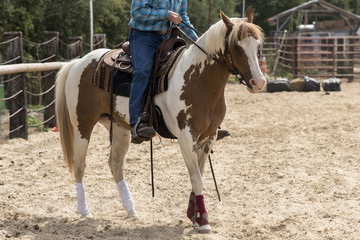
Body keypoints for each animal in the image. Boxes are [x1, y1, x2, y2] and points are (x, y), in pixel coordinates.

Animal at [55, 7, 264, 234]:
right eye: (236, 46)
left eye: (258, 45)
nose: (259, 82)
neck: (198, 79)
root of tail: (79, 62)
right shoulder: (186, 138)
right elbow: (197, 179)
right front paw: (203, 221)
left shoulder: (208, 138)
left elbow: (199, 175)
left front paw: (194, 216)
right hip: (82, 124)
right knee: (79, 164)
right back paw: (85, 211)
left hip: (119, 127)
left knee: (115, 164)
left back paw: (131, 210)